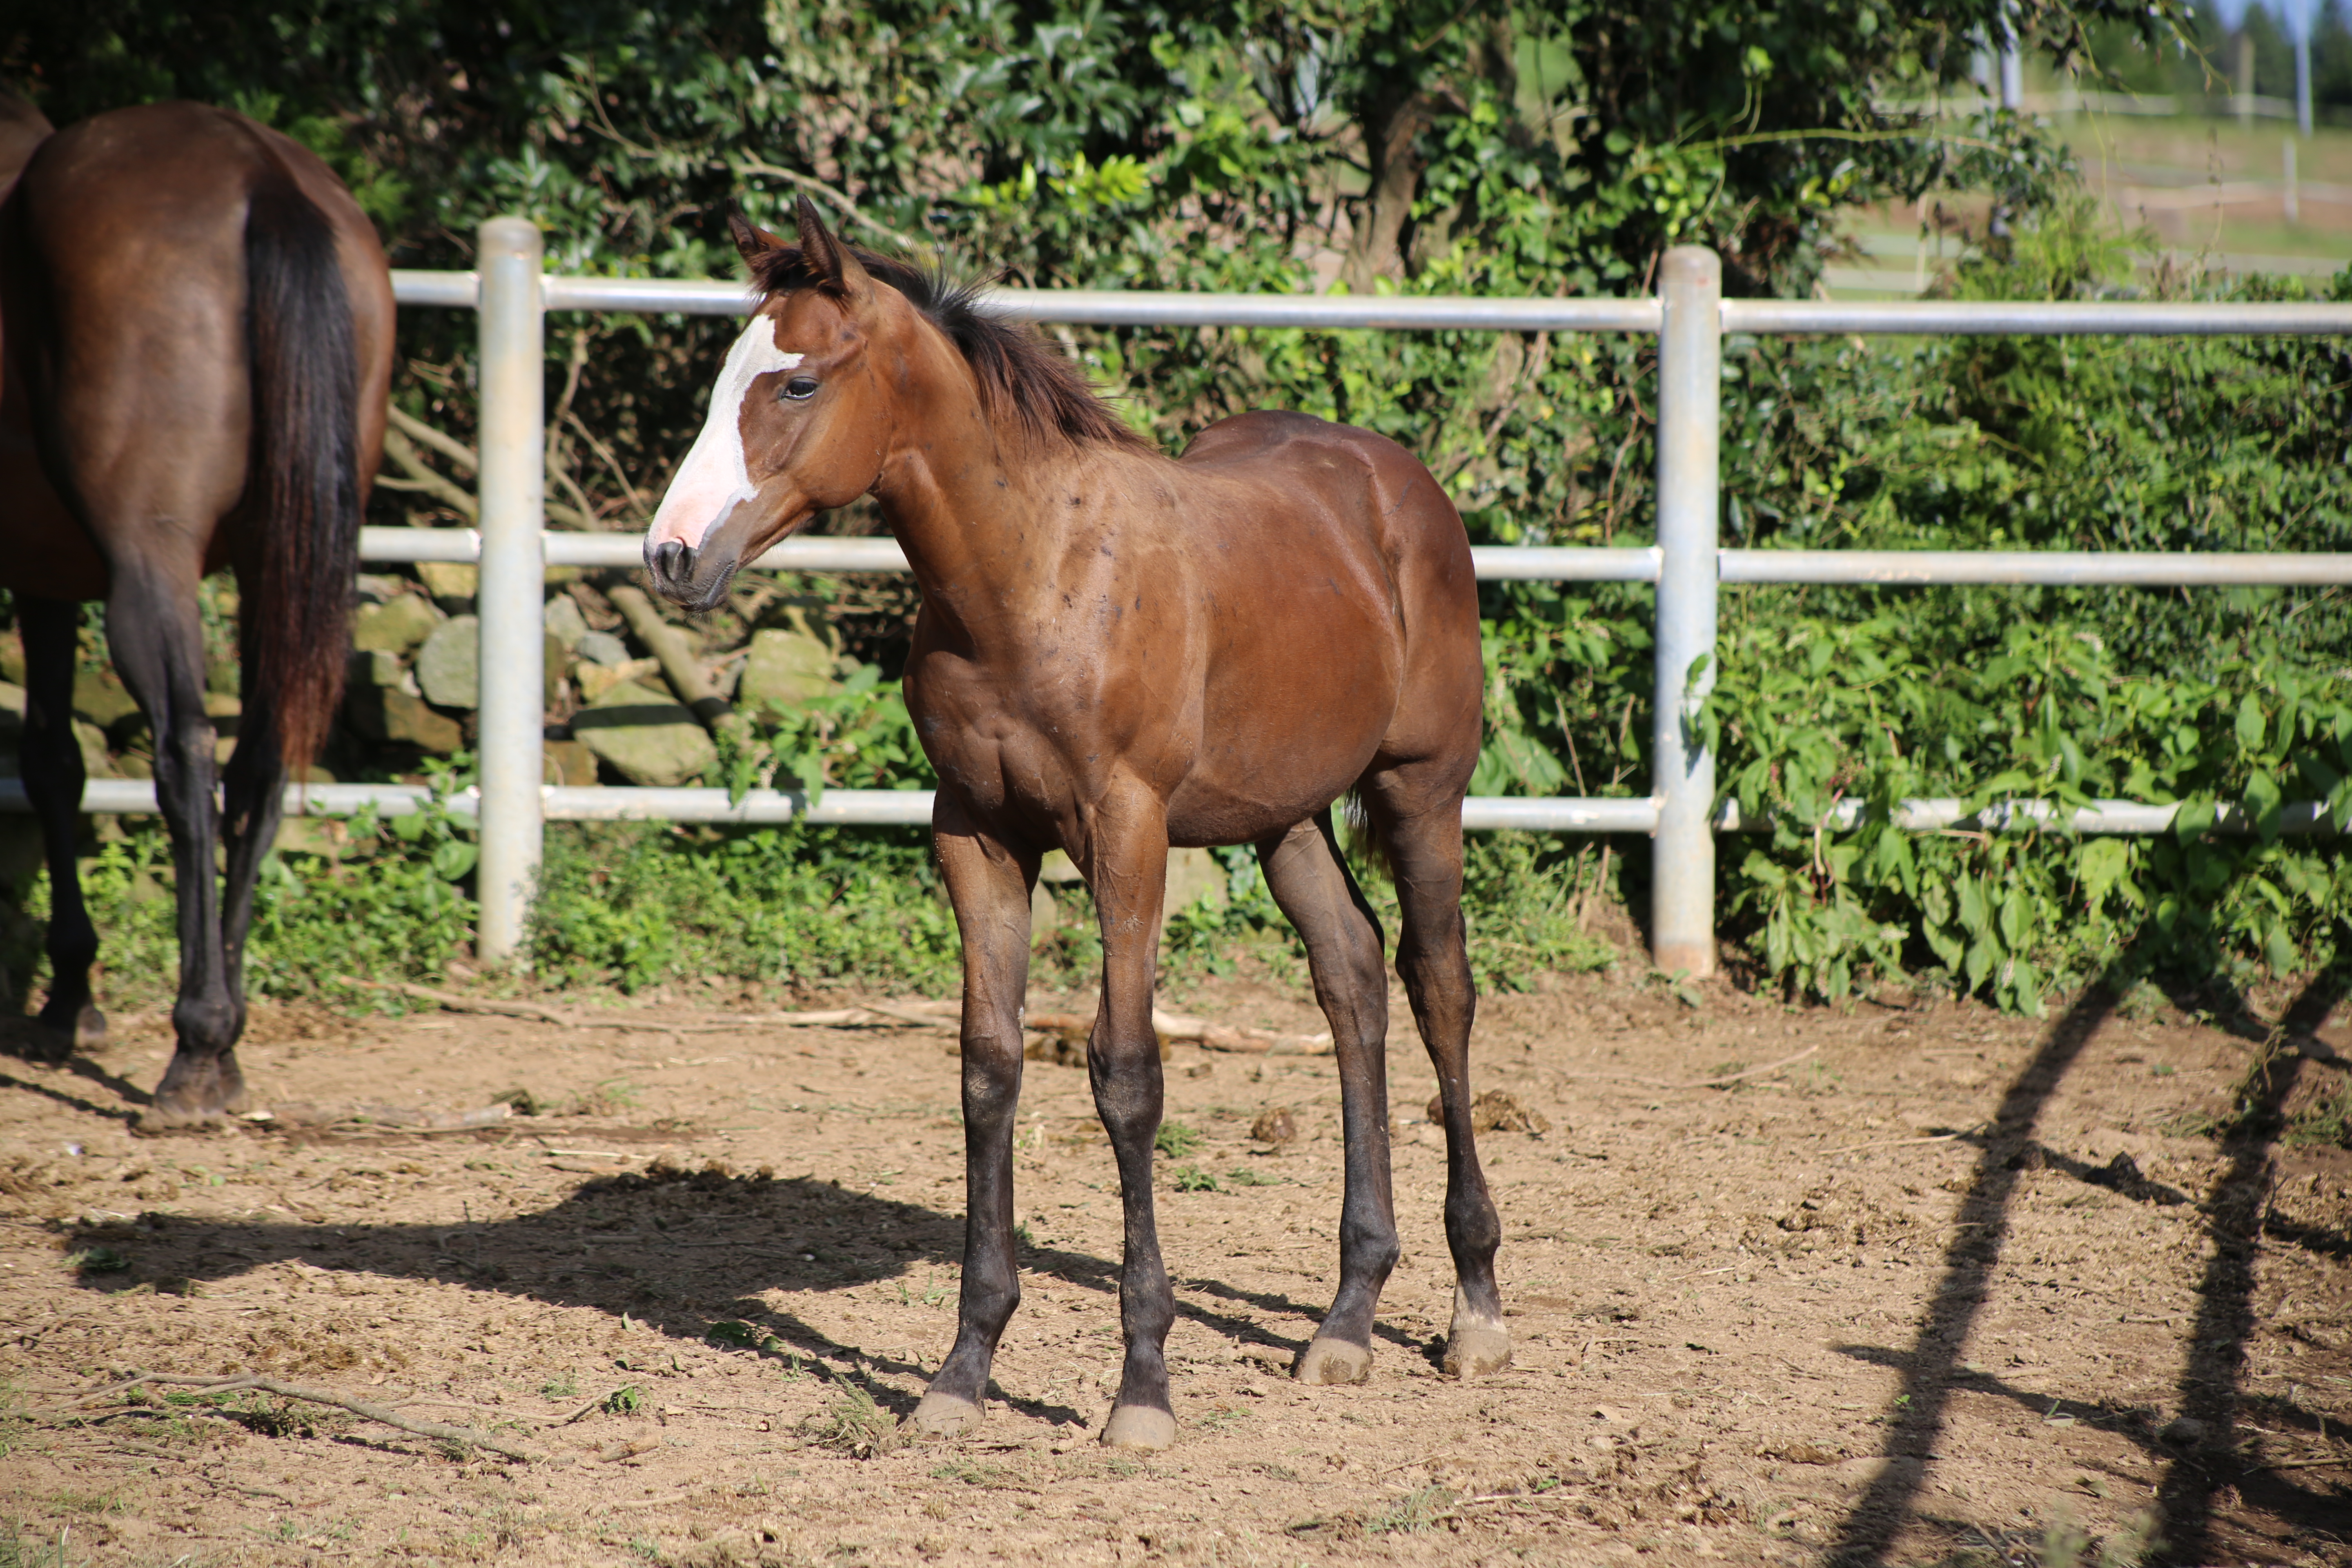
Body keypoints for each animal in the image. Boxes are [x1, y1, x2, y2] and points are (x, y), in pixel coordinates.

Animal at [0, 98, 390, 1123]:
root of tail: (260, 172)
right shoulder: (46, 578)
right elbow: (54, 760)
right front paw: (70, 993)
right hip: (271, 563)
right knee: (260, 762)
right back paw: (229, 1035)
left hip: (154, 564)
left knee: (187, 750)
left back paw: (198, 1043)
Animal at [639, 202, 1505, 1457]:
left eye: (796, 382)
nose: (670, 554)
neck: (1030, 576)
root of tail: (1398, 483)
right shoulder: (975, 833)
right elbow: (988, 1067)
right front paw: (962, 1369)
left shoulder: (1124, 830)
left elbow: (1126, 1075)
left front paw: (1141, 1387)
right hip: (1285, 813)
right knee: (1351, 978)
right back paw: (1346, 1318)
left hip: (1420, 789)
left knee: (1438, 986)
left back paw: (1475, 1308)